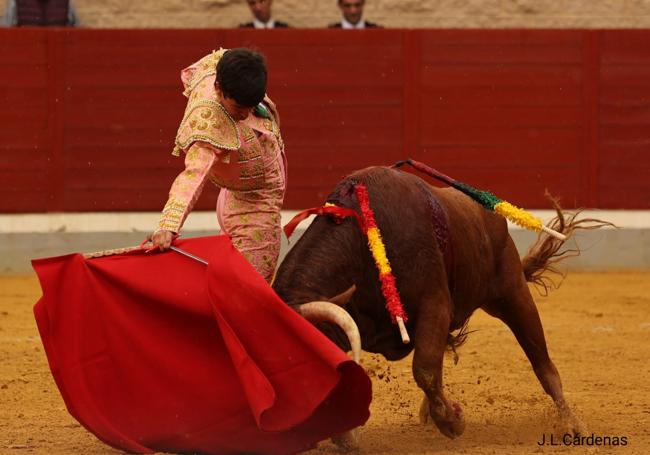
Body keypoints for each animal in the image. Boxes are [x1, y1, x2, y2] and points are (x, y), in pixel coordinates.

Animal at [270, 164, 604, 446]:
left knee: (543, 364)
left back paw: (573, 425)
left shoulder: (435, 305)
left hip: (513, 295)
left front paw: (452, 422)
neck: (363, 245)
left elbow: (425, 368)